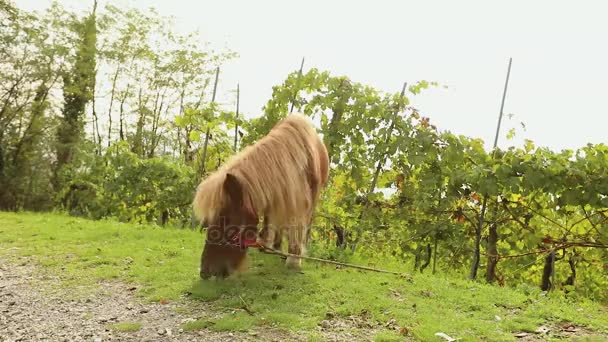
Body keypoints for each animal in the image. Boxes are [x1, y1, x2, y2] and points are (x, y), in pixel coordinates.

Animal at [194, 113, 328, 280]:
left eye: (227, 219)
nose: (204, 272)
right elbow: (272, 220)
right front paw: (268, 246)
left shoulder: (303, 201)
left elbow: (298, 225)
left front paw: (294, 259)